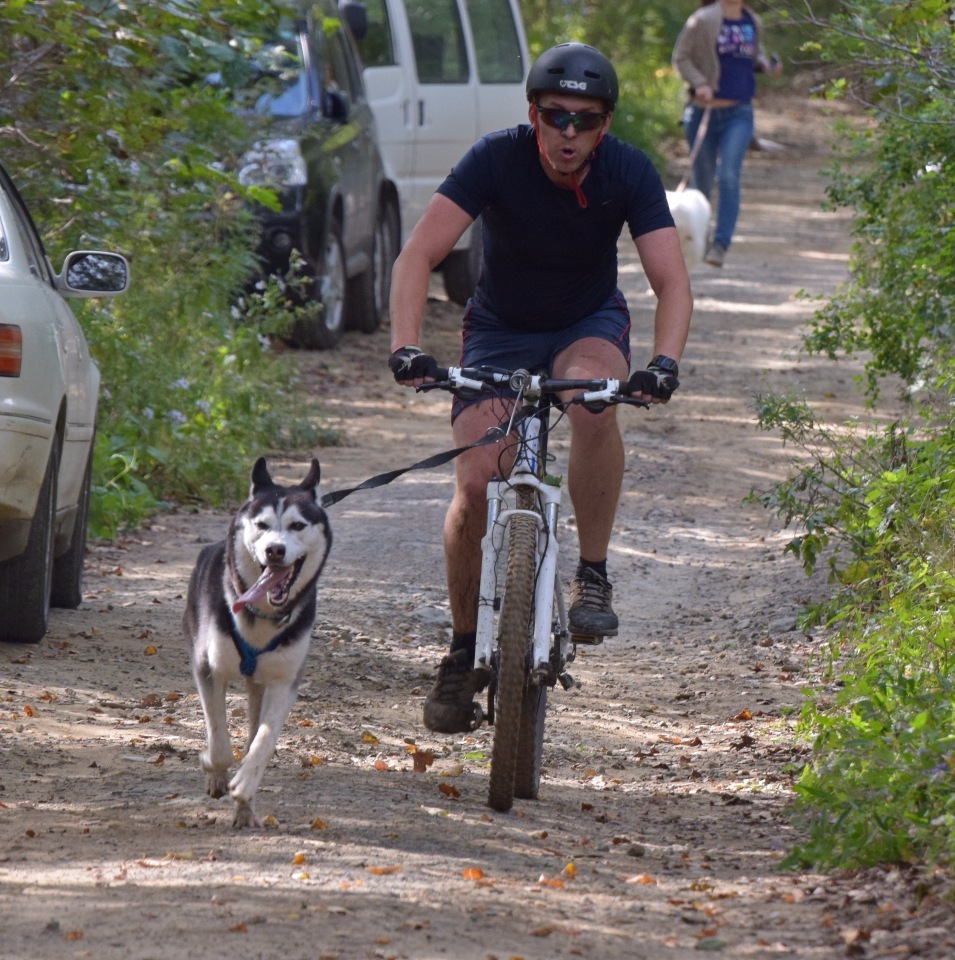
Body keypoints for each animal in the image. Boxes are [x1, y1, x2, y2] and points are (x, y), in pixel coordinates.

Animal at [184, 458, 332, 824]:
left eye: (297, 525)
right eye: (262, 525)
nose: (274, 550)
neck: (261, 617)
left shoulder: (283, 682)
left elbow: (263, 742)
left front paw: (245, 784)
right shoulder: (208, 670)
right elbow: (219, 744)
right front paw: (212, 766)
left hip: (260, 685)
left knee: (253, 732)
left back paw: (244, 810)